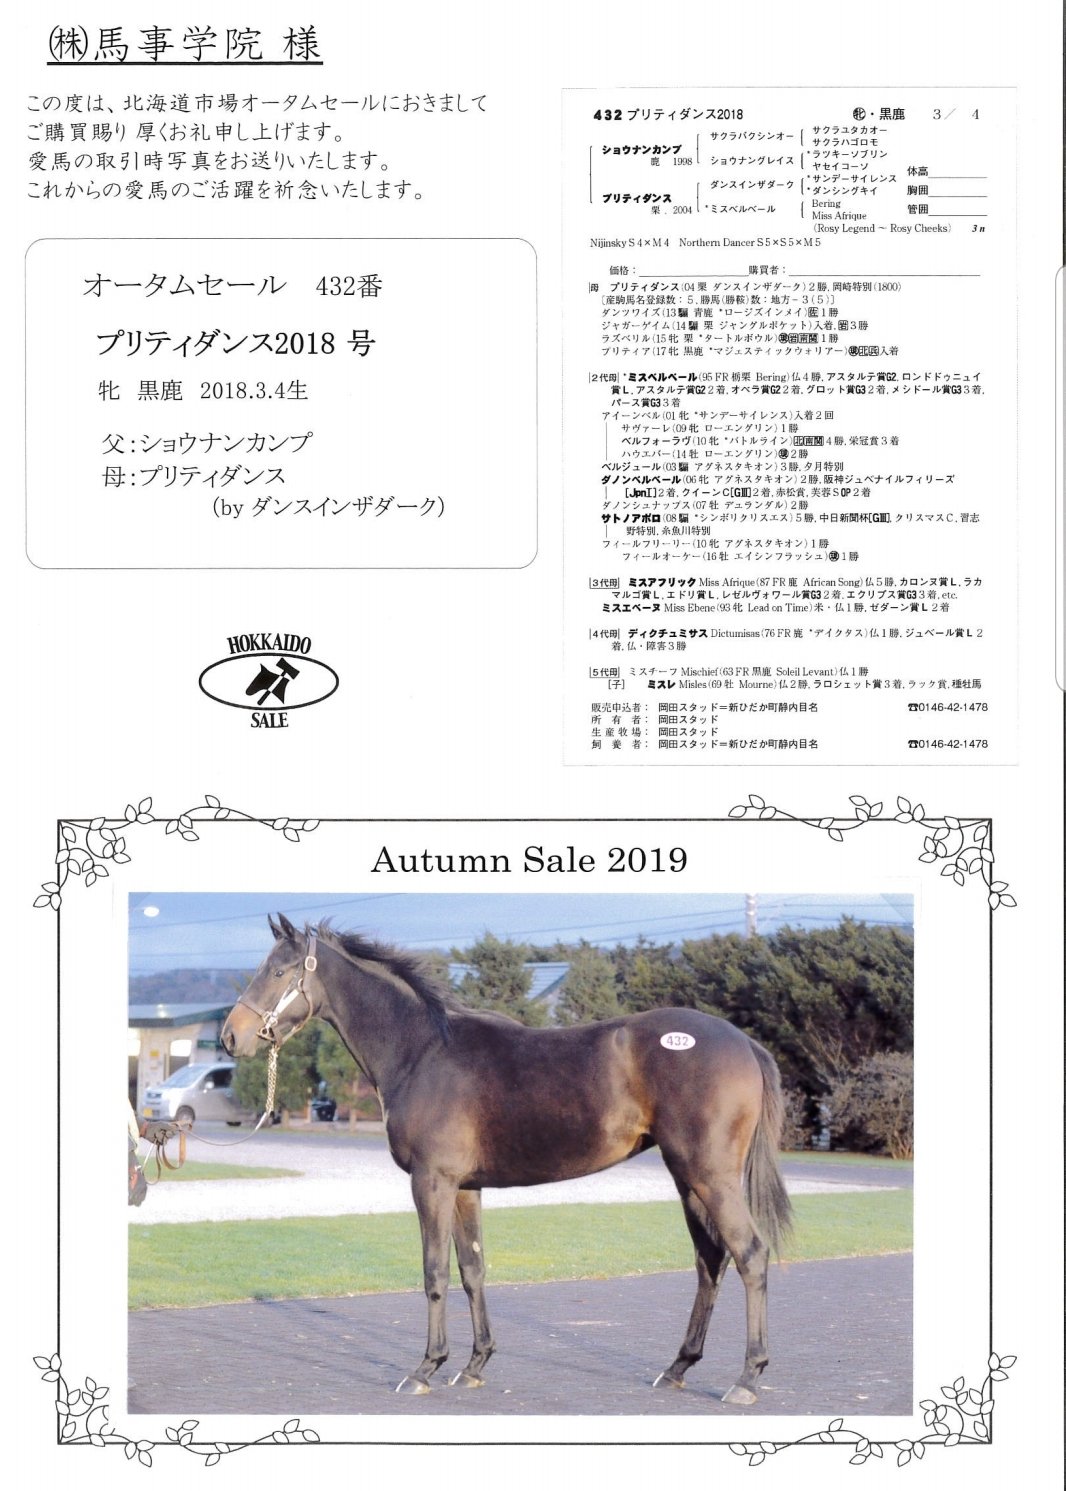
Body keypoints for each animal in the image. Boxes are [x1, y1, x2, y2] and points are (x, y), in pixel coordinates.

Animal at [220, 915, 792, 1404]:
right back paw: (678, 1367)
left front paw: (425, 1368)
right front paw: (474, 1364)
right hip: (687, 1178)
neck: (422, 1052)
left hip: (710, 1177)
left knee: (750, 1254)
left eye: (277, 971)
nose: (231, 1036)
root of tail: (743, 1043)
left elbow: (434, 1272)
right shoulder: (465, 1187)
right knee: (710, 1260)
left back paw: (747, 1377)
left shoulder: (431, 1182)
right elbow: (472, 1269)